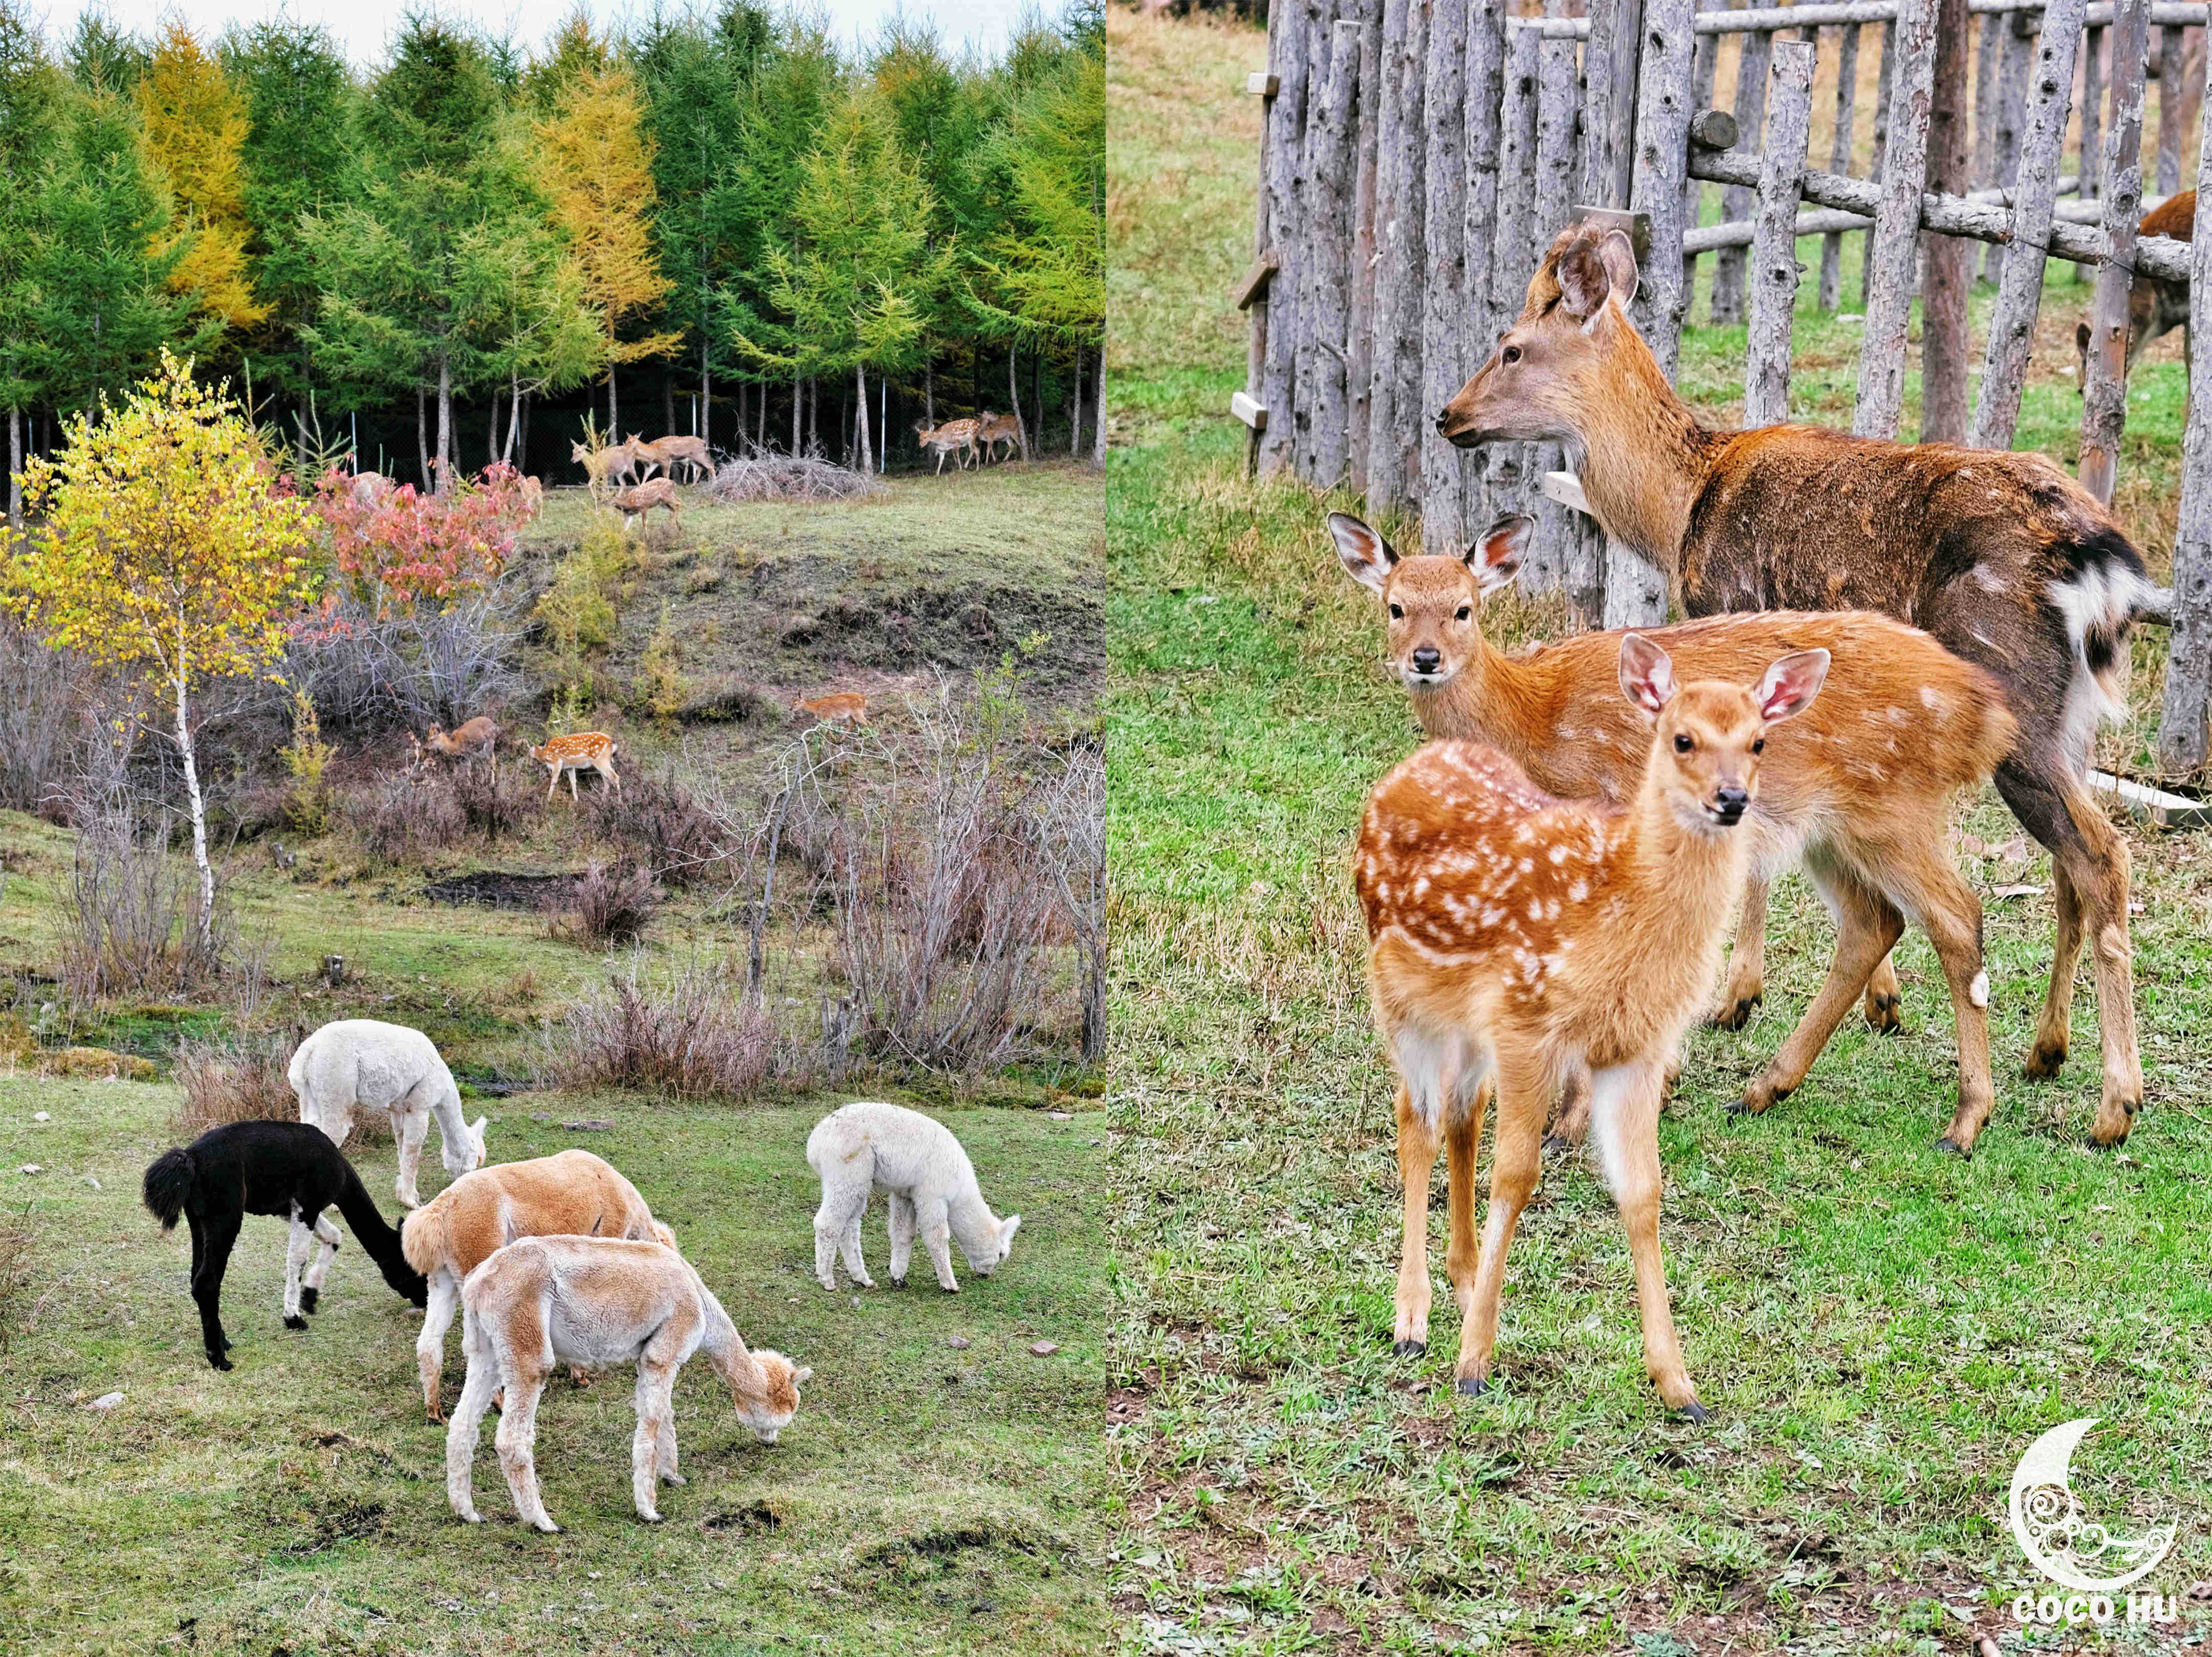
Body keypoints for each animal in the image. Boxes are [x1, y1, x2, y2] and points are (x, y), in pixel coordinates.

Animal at [524, 730, 619, 801]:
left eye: (530, 753)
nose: (529, 764)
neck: (546, 755)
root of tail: (612, 742)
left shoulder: (557, 762)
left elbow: (554, 781)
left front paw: (548, 800)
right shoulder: (569, 767)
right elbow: (573, 782)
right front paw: (576, 802)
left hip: (601, 759)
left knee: (615, 777)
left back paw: (619, 803)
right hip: (601, 762)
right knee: (607, 781)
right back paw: (603, 801)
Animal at [915, 420, 987, 471]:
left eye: (925, 437)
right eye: (919, 438)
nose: (920, 446)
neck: (942, 441)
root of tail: (979, 425)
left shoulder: (956, 443)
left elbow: (958, 456)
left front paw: (960, 469)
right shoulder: (942, 450)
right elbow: (941, 461)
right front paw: (937, 474)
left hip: (972, 438)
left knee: (972, 450)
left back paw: (966, 466)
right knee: (977, 450)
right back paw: (977, 469)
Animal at [1327, 513, 2026, 1150]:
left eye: (1464, 609)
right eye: (1395, 606)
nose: (1425, 659)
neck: (1534, 721)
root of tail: (1987, 713)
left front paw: (1575, 1122)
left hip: (1894, 808)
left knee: (1956, 915)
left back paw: (1965, 1122)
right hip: (1831, 828)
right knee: (1873, 922)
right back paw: (1762, 1089)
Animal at [1362, 632, 1831, 1407]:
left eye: (1758, 741)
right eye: (1681, 738)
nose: (1731, 799)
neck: (1617, 906)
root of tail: (1403, 772)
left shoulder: (1636, 1046)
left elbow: (1642, 1193)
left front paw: (1677, 1382)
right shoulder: (1529, 1021)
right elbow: (1515, 1176)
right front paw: (1474, 1363)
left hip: (1466, 1022)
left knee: (1461, 1114)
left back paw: (1462, 1280)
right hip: (1398, 995)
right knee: (1415, 1121)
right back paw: (1412, 1318)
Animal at [1442, 220, 2167, 1141]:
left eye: (1510, 346)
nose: (1449, 415)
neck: (1677, 508)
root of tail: (2105, 568)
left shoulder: (1732, 614)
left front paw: (1736, 997)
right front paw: (1881, 1002)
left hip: (2018, 701)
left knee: (2101, 854)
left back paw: (2115, 1101)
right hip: (2070, 720)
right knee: (2070, 866)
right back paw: (2046, 1052)